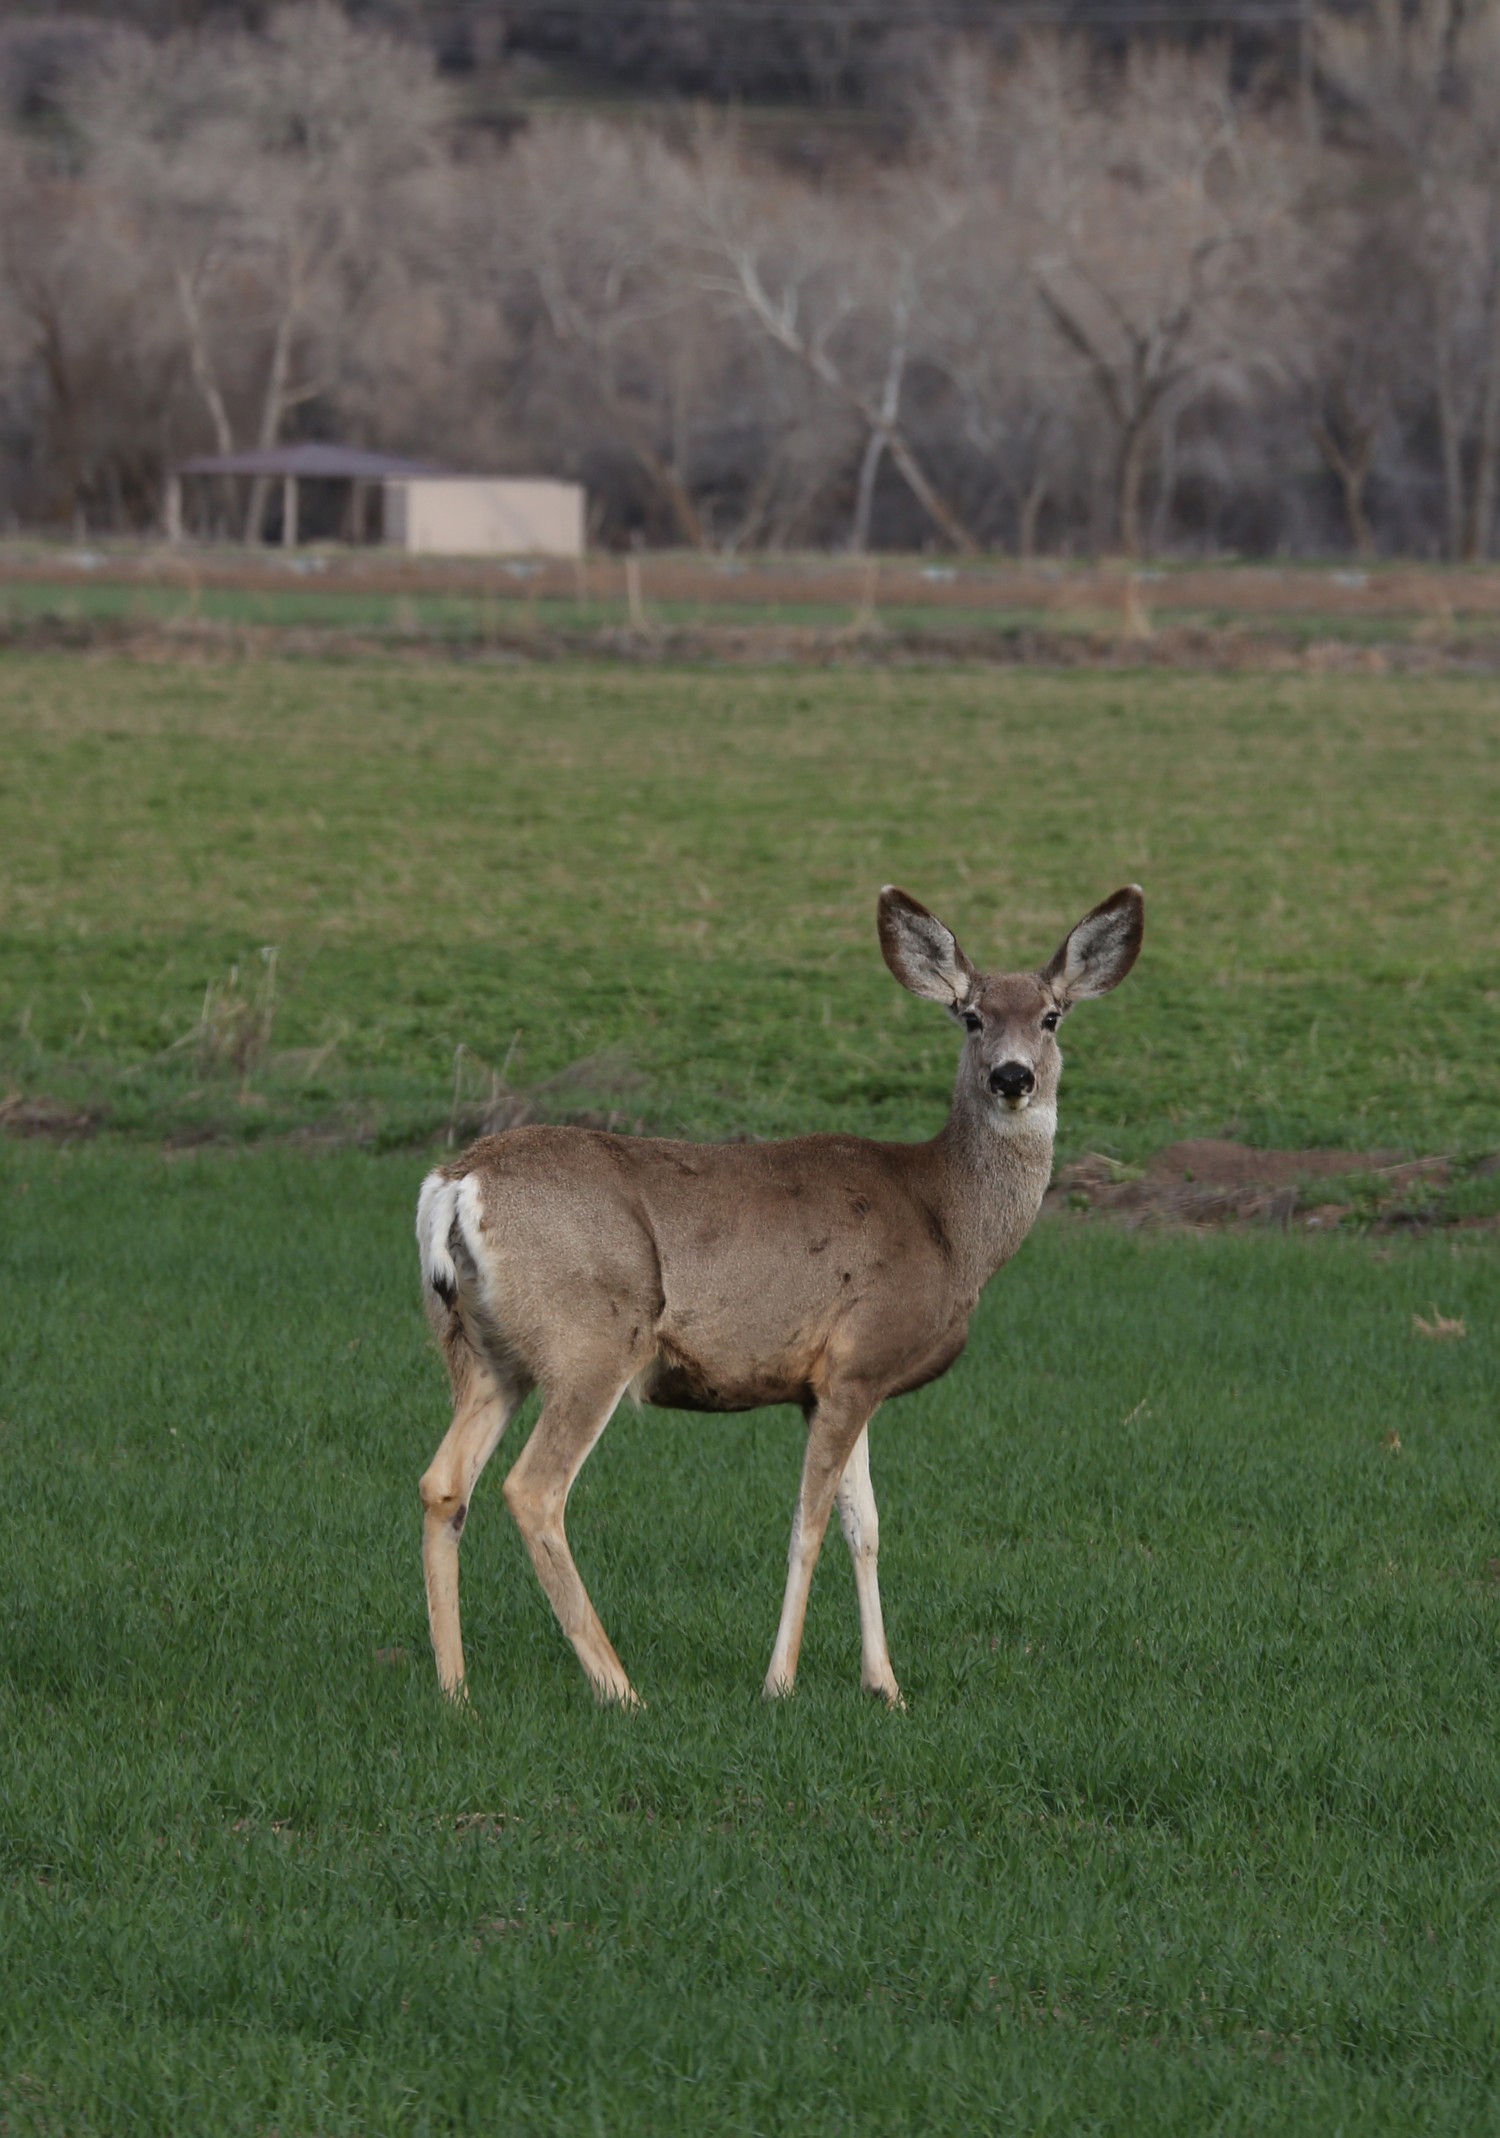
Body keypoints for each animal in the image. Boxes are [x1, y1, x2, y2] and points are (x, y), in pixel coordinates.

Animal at [416, 880, 1145, 1701]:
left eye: (1051, 1016)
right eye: (972, 1015)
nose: (1012, 1077)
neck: (947, 1222)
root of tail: (456, 1183)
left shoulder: (837, 1382)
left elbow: (868, 1527)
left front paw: (886, 1687)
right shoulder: (856, 1360)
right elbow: (811, 1525)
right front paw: (780, 1681)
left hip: (484, 1351)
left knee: (444, 1482)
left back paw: (455, 1691)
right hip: (591, 1337)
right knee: (534, 1489)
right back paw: (620, 1690)